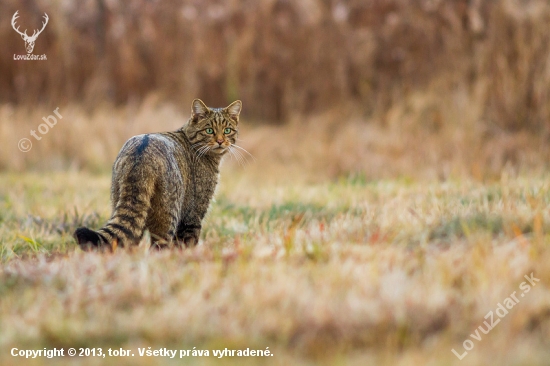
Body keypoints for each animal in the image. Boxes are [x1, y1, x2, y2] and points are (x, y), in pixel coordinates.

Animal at [74, 98, 243, 250]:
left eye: (227, 130)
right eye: (209, 130)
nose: (220, 141)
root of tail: (141, 153)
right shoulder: (192, 215)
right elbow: (187, 244)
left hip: (124, 207)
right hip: (168, 216)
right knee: (158, 247)